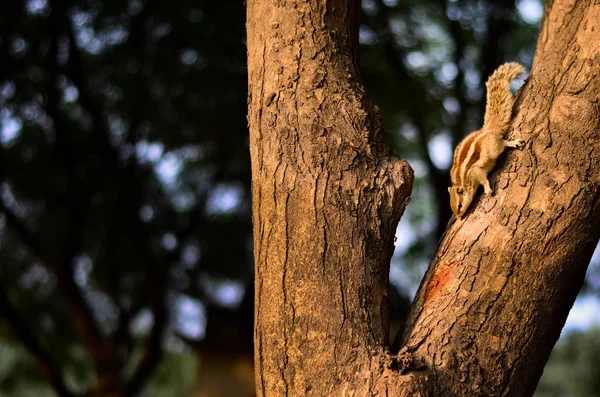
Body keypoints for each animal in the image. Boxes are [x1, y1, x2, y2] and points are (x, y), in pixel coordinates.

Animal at [446, 62, 524, 218]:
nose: (459, 217)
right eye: (452, 209)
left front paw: (487, 189)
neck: (461, 182)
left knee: (502, 143)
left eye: (459, 205)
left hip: (493, 147)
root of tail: (487, 130)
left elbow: (483, 179)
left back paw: (512, 142)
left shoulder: (474, 172)